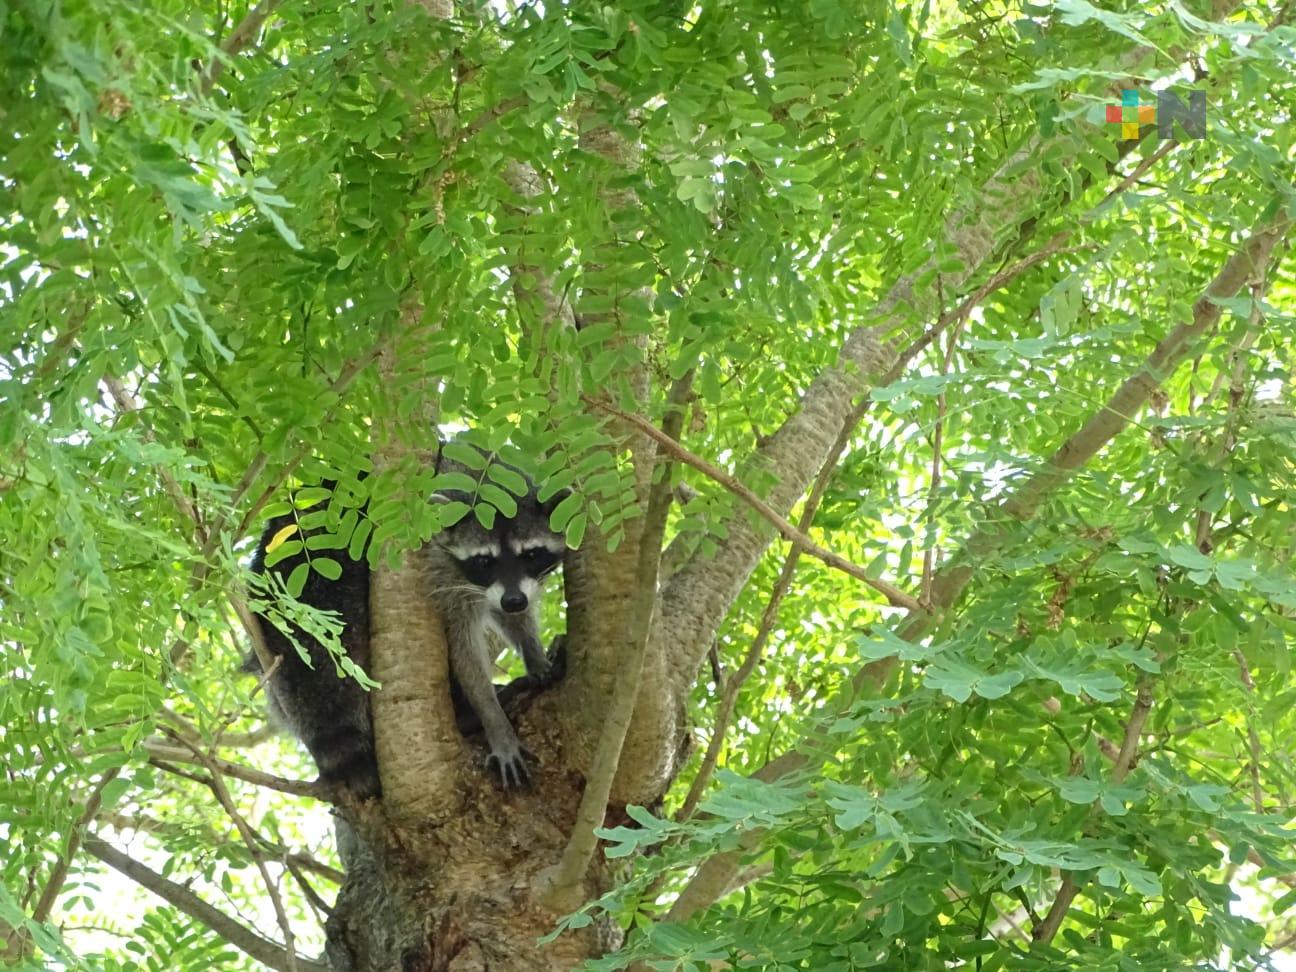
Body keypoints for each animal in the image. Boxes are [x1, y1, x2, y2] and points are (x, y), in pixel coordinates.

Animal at [250, 451, 565, 798]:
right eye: (484, 561)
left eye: (531, 554)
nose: (514, 601)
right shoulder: (438, 565)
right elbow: (461, 648)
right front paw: (493, 719)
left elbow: (505, 613)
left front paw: (533, 653)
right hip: (326, 588)